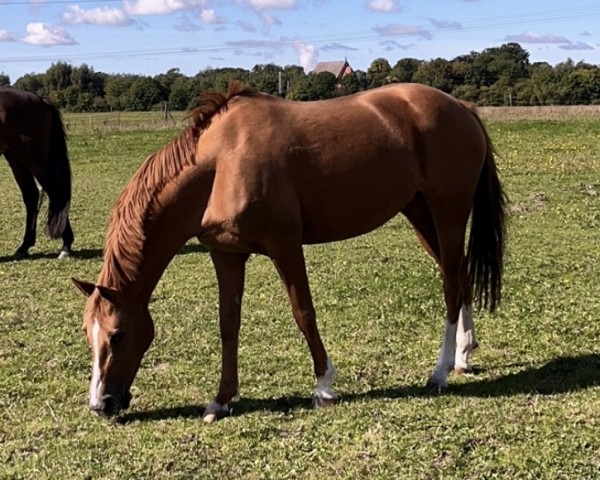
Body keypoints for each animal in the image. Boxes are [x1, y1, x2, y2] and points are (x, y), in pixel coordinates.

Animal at [0, 86, 74, 258]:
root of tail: (40, 100)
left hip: (33, 159)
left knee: (56, 193)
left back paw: (66, 247)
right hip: (16, 158)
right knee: (31, 195)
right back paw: (24, 247)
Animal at [74, 82, 506, 420]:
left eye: (117, 336)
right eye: (87, 335)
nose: (100, 406)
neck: (221, 164)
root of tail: (461, 108)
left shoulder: (285, 246)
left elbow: (303, 312)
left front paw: (324, 386)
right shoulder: (226, 255)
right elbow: (228, 324)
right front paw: (221, 399)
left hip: (448, 212)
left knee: (451, 286)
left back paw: (440, 372)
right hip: (419, 213)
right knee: (460, 275)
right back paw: (463, 356)